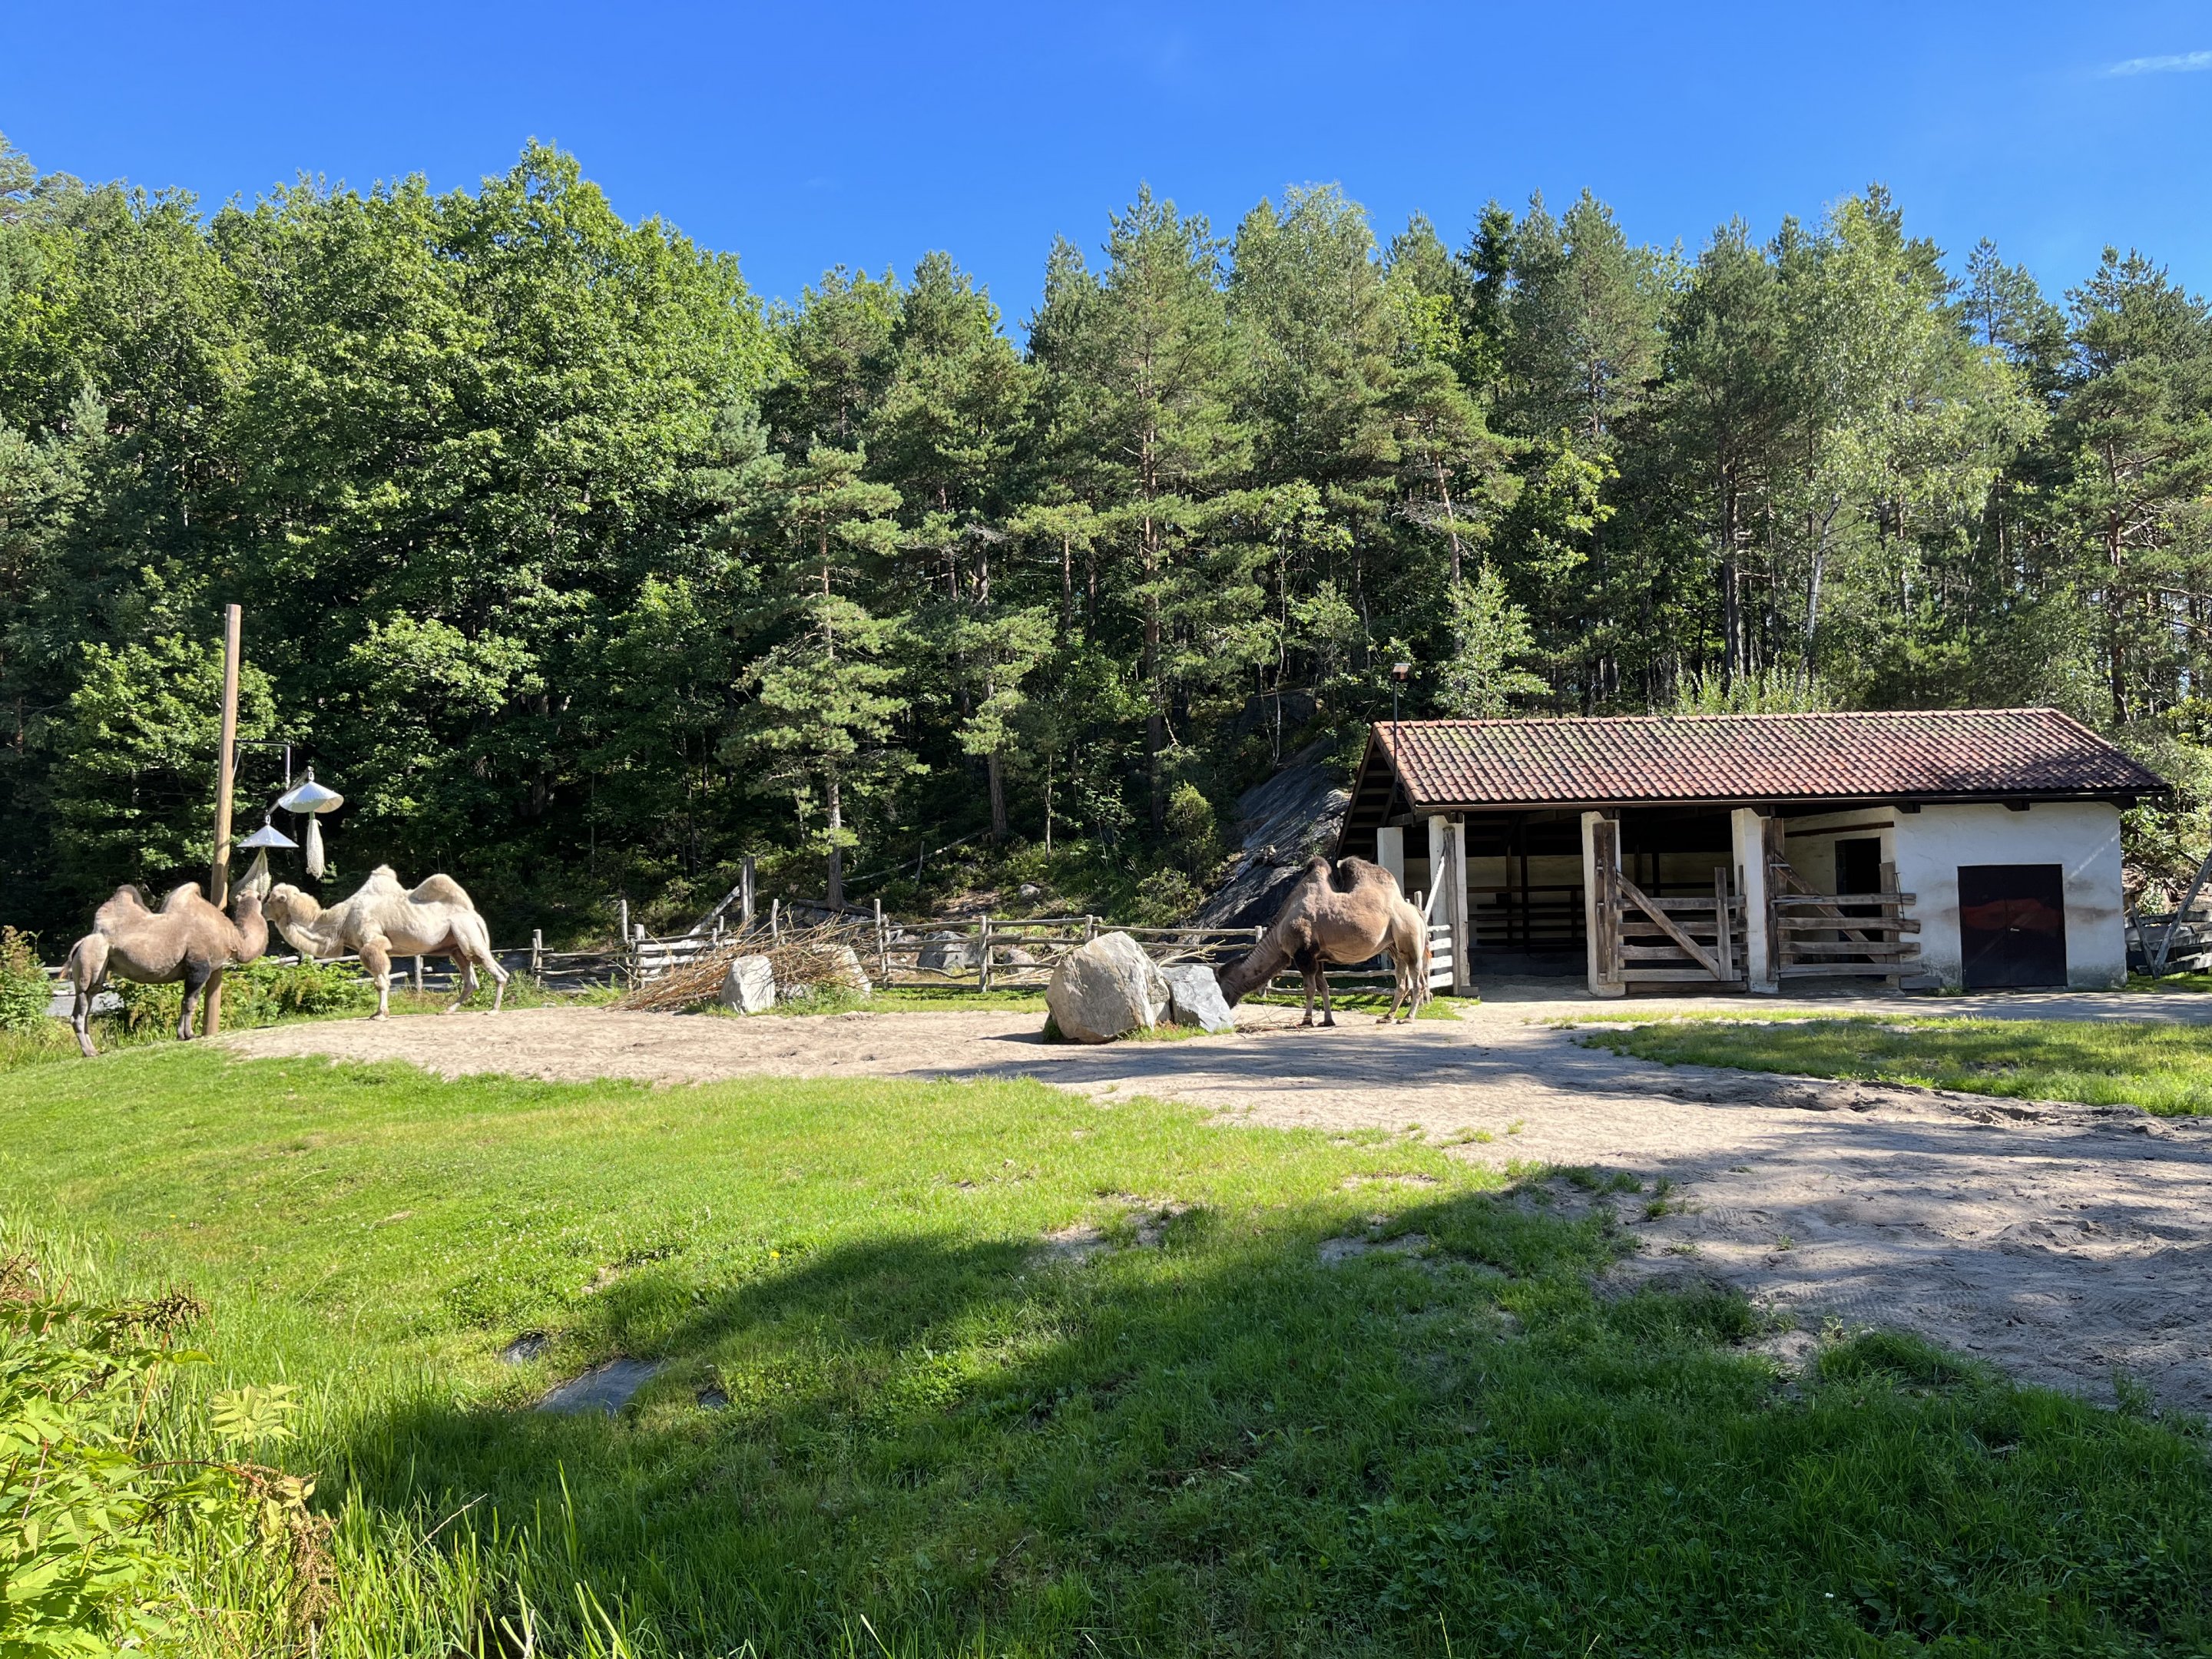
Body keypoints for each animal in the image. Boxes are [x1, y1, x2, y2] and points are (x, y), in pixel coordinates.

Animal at [65, 871, 271, 1057]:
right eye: (261, 897)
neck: (234, 937)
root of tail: (80, 944)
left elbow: (188, 1001)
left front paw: (185, 1033)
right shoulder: (199, 966)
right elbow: (189, 1002)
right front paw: (187, 1034)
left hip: (98, 968)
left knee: (87, 1006)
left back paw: (93, 1050)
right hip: (91, 959)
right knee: (80, 1011)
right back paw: (90, 1052)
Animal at [263, 865, 508, 1019]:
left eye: (273, 899)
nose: (262, 909)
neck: (341, 920)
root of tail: (474, 915)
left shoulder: (372, 943)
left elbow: (381, 981)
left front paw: (380, 1015)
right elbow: (380, 980)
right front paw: (377, 1012)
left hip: (468, 936)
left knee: (498, 972)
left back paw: (493, 1010)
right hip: (455, 947)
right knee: (470, 980)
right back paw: (447, 1010)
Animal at [1214, 855, 1431, 1026]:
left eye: (1221, 987)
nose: (1223, 1008)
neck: (1278, 933)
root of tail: (1417, 911)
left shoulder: (1304, 954)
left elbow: (1309, 989)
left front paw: (1306, 1020)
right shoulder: (1317, 958)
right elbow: (1324, 987)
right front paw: (1327, 1020)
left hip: (1410, 938)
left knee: (1417, 980)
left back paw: (1407, 1018)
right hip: (1394, 946)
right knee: (1402, 980)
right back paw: (1387, 1017)